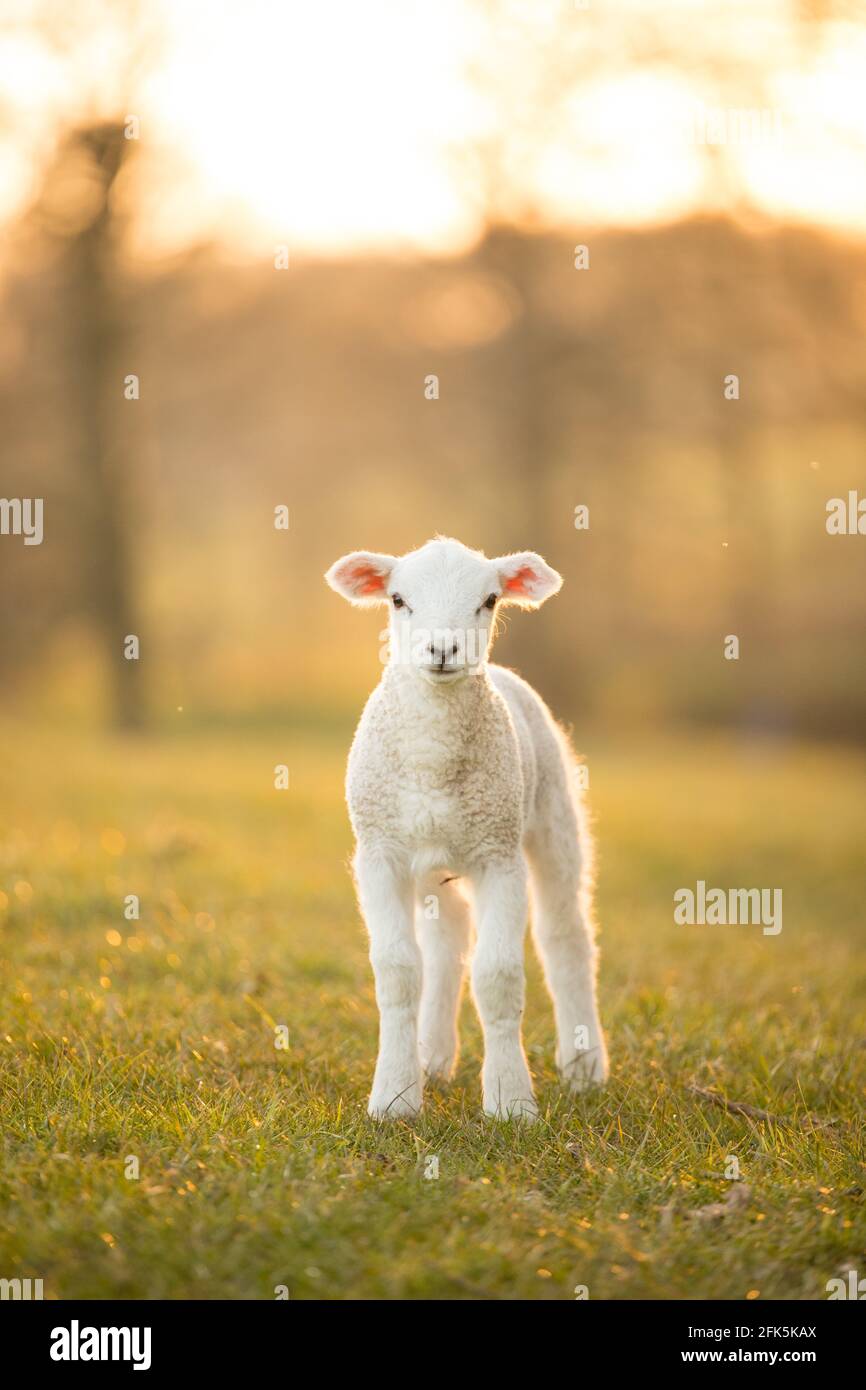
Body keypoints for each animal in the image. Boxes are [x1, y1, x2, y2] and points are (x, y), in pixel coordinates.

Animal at [325, 536, 609, 1120]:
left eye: (490, 600)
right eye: (398, 599)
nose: (442, 649)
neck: (432, 757)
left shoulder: (499, 855)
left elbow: (498, 977)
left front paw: (510, 1101)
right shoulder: (379, 853)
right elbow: (398, 971)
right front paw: (395, 1097)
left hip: (552, 818)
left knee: (565, 936)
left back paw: (584, 1067)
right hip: (435, 859)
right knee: (445, 944)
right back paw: (432, 1057)